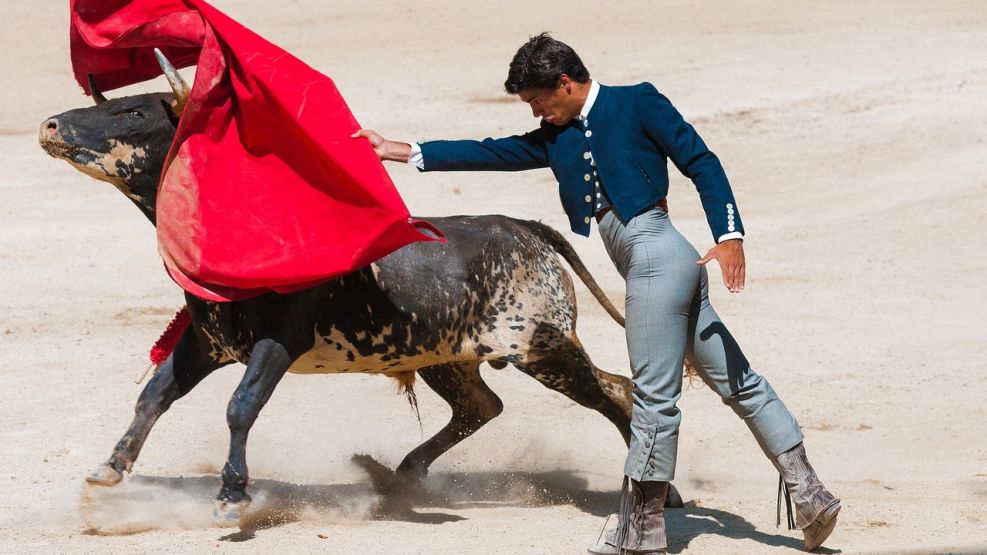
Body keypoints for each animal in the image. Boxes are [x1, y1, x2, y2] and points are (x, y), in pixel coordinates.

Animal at [40, 52, 688, 520]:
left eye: (134, 114)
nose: (49, 124)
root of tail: (522, 227)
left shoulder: (277, 342)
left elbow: (239, 405)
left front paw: (231, 497)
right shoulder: (208, 341)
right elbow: (155, 395)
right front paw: (108, 471)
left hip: (542, 346)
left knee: (614, 391)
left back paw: (664, 494)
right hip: (446, 355)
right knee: (482, 405)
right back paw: (399, 477)